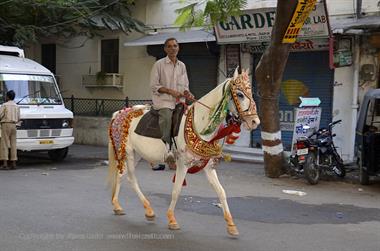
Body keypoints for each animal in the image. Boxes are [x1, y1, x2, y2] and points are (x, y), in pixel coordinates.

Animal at [108, 68, 260, 235]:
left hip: (137, 155)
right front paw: (172, 220)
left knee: (122, 176)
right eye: (239, 94)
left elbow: (221, 191)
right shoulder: (182, 164)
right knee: (131, 178)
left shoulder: (208, 166)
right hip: (127, 152)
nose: (255, 122)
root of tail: (119, 113)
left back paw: (125, 207)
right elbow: (177, 190)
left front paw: (231, 225)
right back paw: (140, 208)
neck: (200, 123)